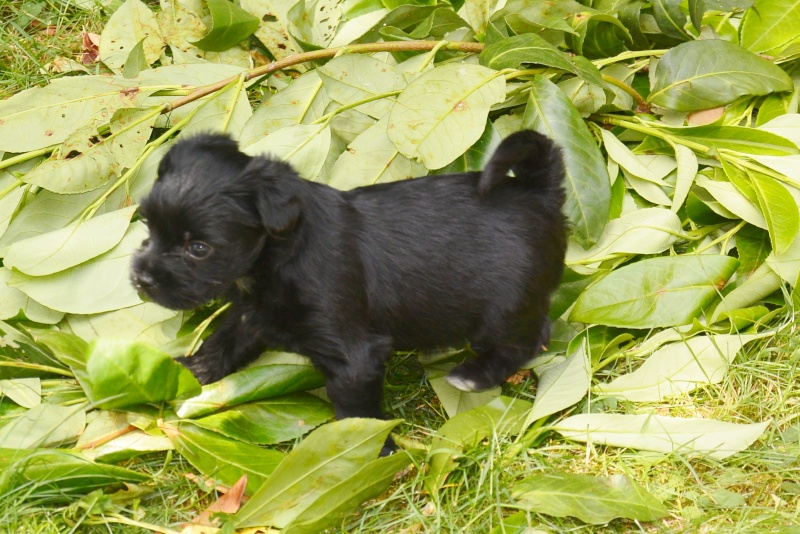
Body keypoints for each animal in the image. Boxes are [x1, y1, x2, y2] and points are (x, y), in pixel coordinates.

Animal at [131, 129, 564, 436]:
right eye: (147, 226)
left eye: (199, 248)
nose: (140, 279)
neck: (279, 255)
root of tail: (538, 192)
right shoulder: (253, 314)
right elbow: (224, 341)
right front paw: (190, 370)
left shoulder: (354, 356)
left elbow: (356, 411)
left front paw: (369, 452)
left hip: (505, 309)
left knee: (529, 338)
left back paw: (474, 375)